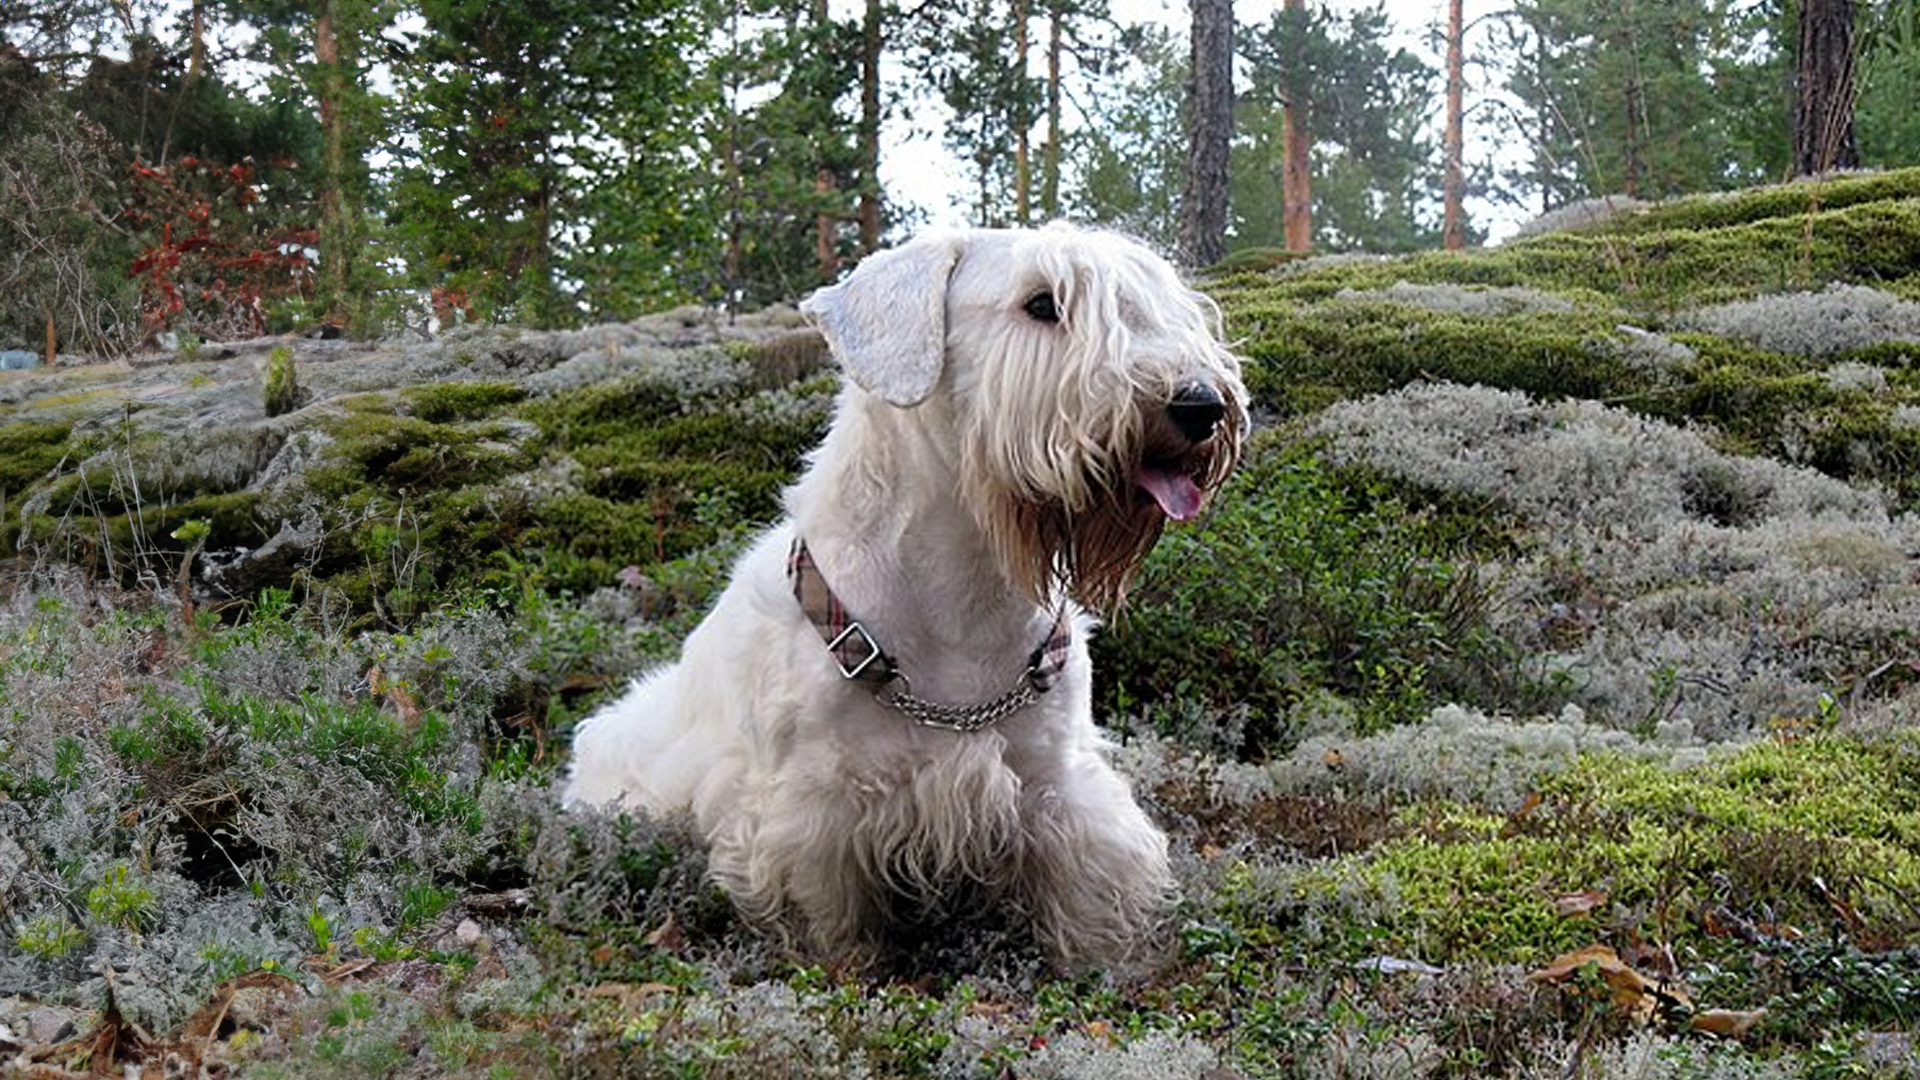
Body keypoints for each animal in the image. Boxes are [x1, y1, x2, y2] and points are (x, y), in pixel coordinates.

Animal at [560, 220, 1244, 968]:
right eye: (1041, 303)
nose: (1201, 405)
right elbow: (827, 916)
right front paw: (847, 967)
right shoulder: (809, 810)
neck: (964, 596)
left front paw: (1105, 964)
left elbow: (1087, 887)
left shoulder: (1056, 778)